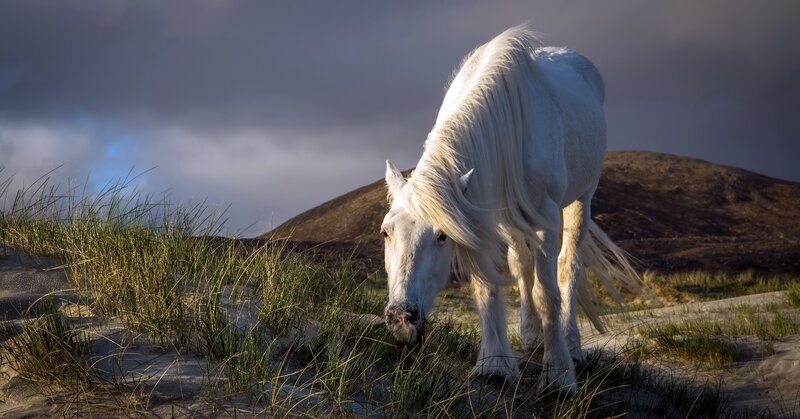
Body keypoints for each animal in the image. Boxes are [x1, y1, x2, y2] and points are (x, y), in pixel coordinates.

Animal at [381, 26, 643, 393]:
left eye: (442, 236)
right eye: (385, 232)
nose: (401, 318)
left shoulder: (545, 216)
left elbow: (548, 292)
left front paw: (559, 375)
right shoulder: (481, 213)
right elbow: (487, 286)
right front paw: (494, 364)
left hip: (581, 200)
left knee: (569, 267)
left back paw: (572, 346)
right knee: (522, 264)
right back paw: (532, 336)